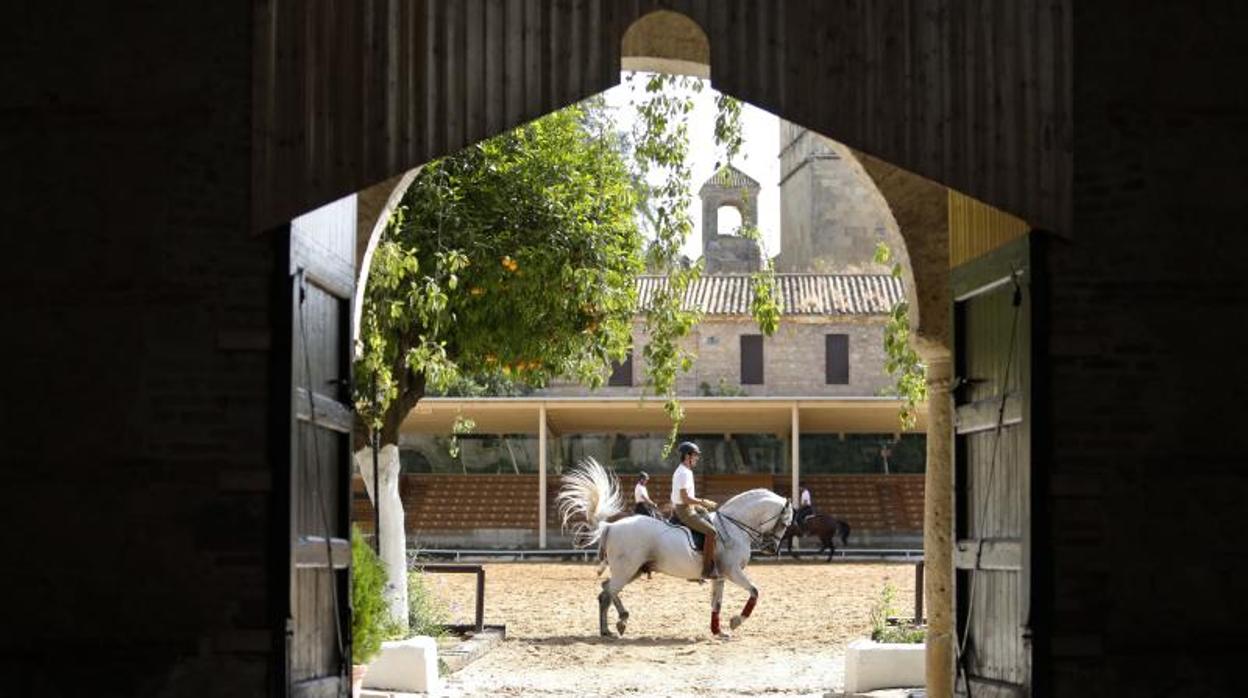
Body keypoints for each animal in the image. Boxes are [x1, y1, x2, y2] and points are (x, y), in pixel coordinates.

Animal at [556, 459, 788, 639]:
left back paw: (611, 627)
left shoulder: (720, 576)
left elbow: (717, 604)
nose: (772, 549)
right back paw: (618, 623)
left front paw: (718, 631)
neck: (734, 527)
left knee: (605, 590)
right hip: (626, 570)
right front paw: (736, 622)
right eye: (785, 523)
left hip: (633, 571)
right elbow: (754, 591)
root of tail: (611, 526)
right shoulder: (732, 572)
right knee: (608, 592)